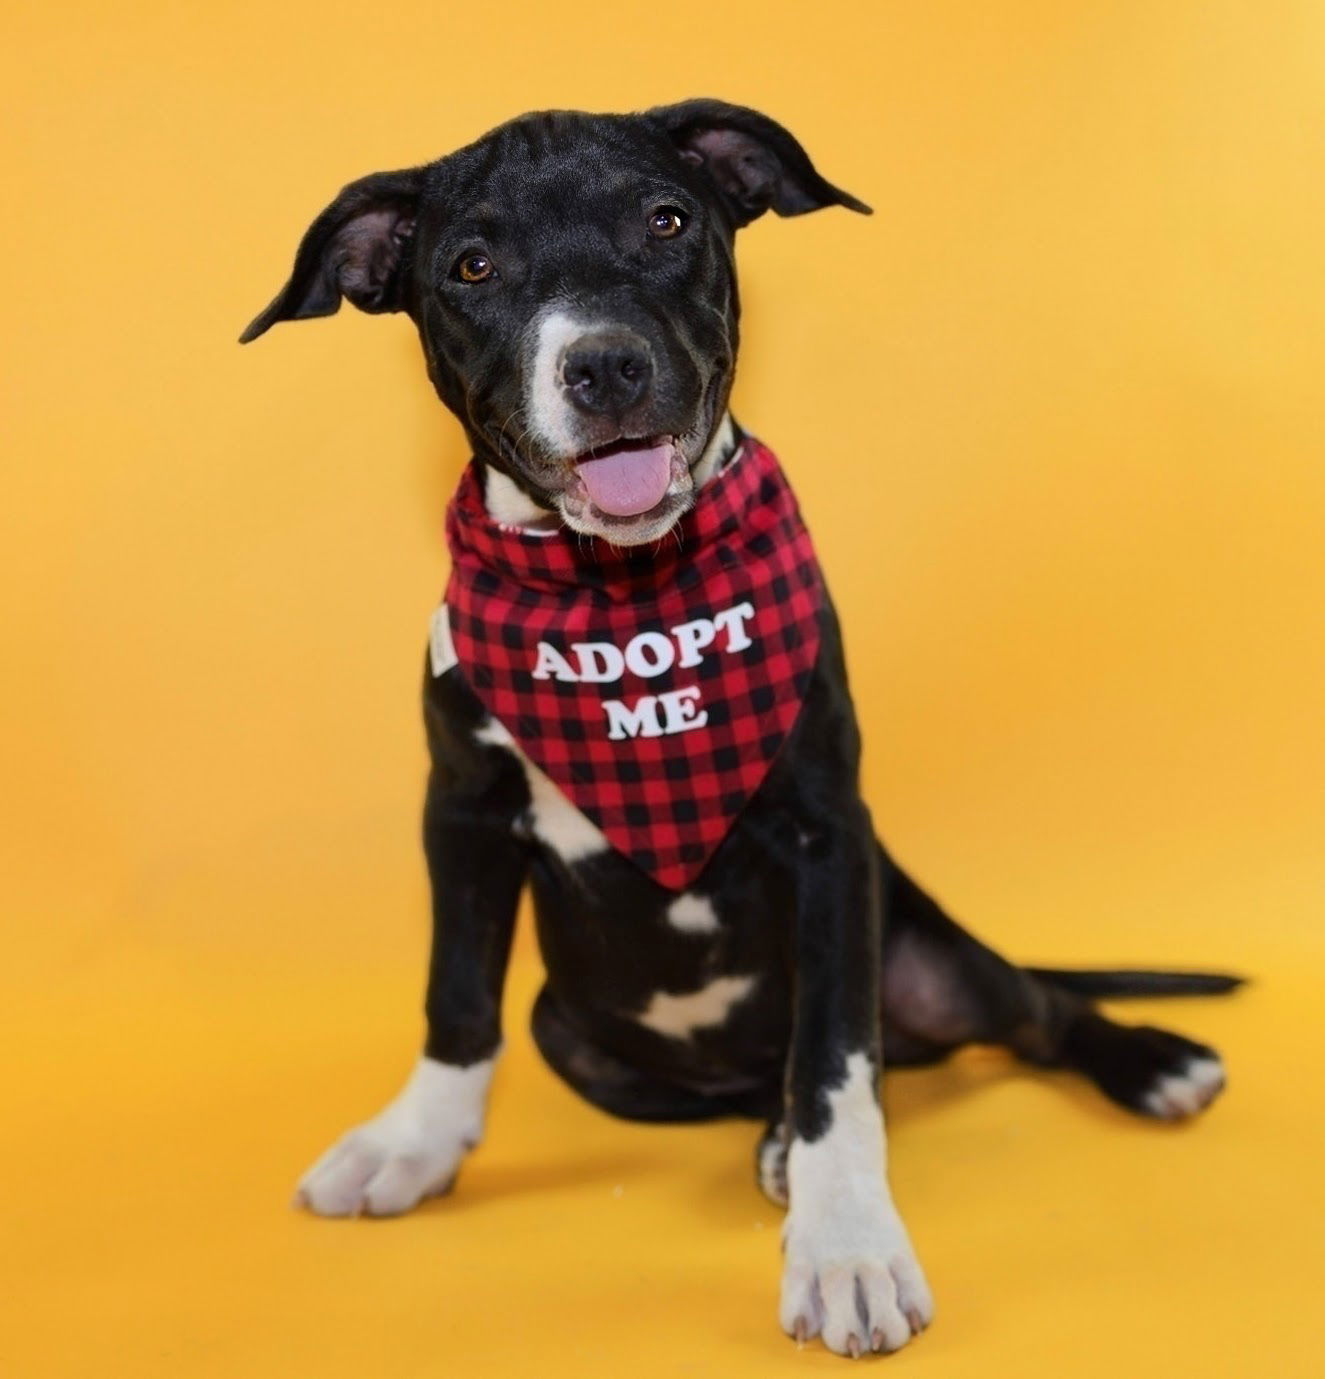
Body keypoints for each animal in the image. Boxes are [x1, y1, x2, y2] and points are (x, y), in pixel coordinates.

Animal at [239, 99, 1240, 1356]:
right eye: (470, 266)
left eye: (667, 220)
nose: (605, 362)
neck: (620, 598)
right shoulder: (459, 813)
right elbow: (455, 995)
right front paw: (412, 1142)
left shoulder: (826, 835)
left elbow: (836, 1060)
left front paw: (846, 1241)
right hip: (577, 1034)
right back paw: (763, 1138)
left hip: (924, 950)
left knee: (1021, 1010)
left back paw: (1146, 1062)